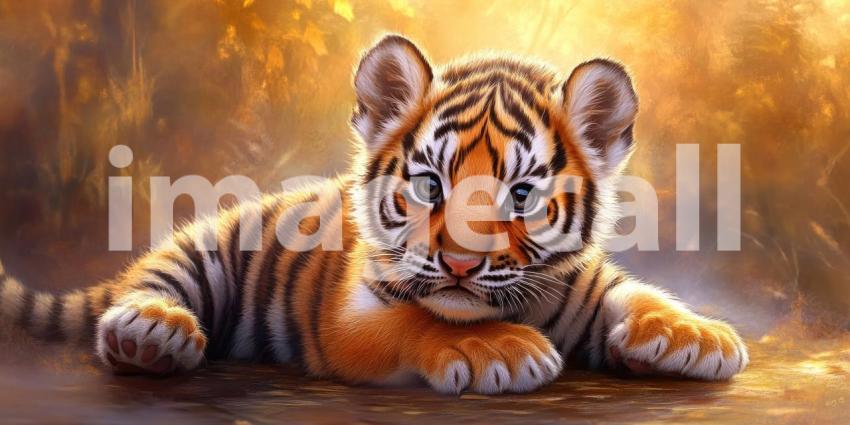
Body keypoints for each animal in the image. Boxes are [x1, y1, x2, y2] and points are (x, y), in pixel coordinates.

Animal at [0, 35, 748, 394]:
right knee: (147, 286)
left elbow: (639, 293)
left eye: (523, 195)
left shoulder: (584, 285)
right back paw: (152, 333)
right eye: (430, 184)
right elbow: (417, 319)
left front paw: (698, 334)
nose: (460, 264)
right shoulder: (354, 312)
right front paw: (497, 349)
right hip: (201, 249)